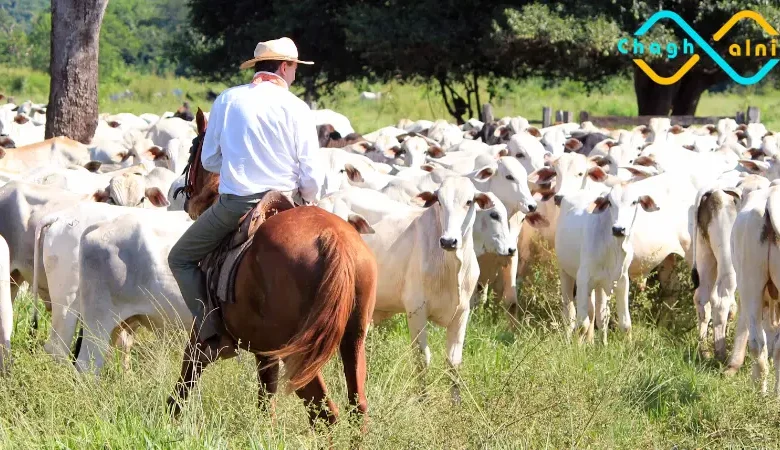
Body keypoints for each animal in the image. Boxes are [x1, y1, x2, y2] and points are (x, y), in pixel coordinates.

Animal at [168, 107, 378, 430]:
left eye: (193, 149)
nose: (187, 199)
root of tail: (333, 238)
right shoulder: (265, 351)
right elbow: (266, 398)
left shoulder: (201, 333)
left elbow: (186, 378)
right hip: (352, 340)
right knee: (357, 406)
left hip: (300, 352)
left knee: (324, 413)